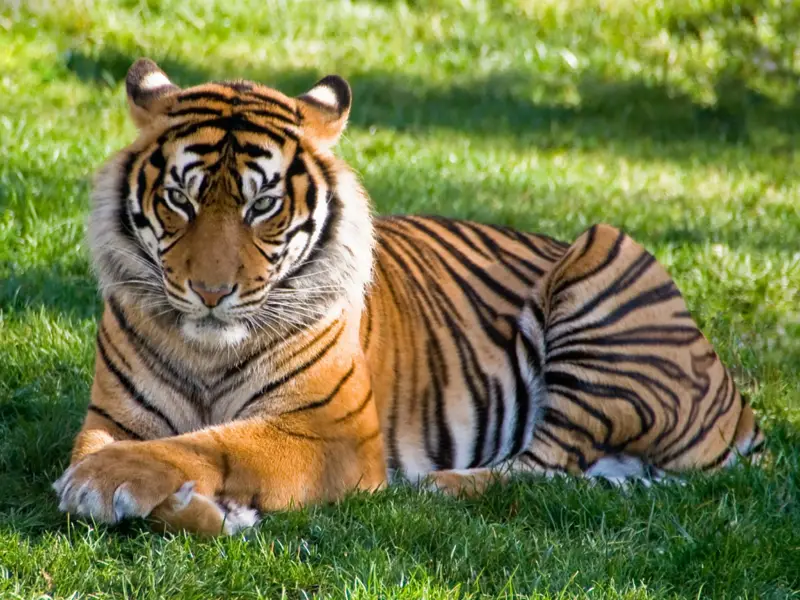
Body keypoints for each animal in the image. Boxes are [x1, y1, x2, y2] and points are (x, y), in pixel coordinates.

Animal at [53, 59, 764, 535]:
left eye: (263, 206)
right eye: (181, 199)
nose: (209, 292)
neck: (207, 351)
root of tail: (741, 407)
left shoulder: (331, 432)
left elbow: (212, 443)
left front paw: (104, 483)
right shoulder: (112, 416)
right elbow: (133, 449)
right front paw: (194, 507)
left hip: (605, 254)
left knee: (546, 466)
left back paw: (437, 486)